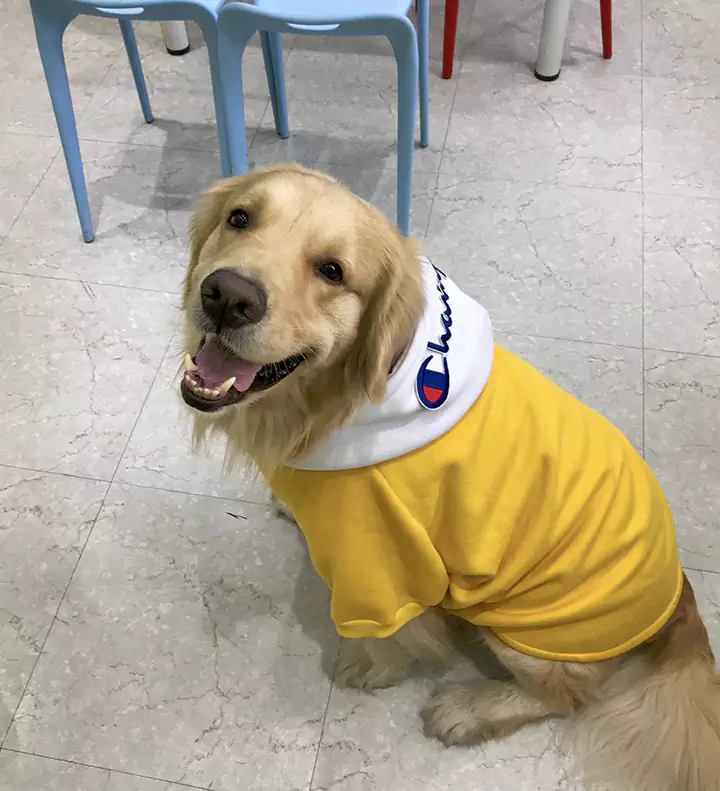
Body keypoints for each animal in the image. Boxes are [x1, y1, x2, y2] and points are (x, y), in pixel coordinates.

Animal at [181, 164, 720, 788]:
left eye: (332, 271)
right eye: (240, 217)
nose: (226, 296)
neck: (339, 401)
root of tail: (681, 595)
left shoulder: (383, 566)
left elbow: (391, 633)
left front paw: (369, 667)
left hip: (524, 629)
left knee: (567, 695)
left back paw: (470, 707)